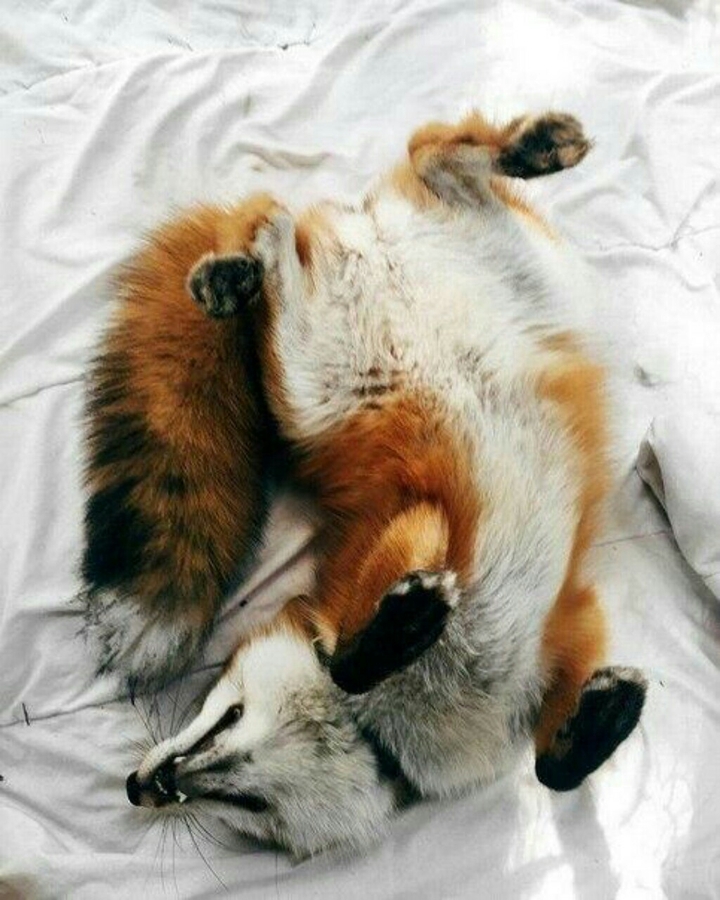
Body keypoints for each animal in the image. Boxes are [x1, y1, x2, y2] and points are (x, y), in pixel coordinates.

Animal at [82, 108, 647, 855]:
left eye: (229, 721)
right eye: (245, 803)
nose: (144, 786)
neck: (377, 722)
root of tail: (361, 224)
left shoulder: (565, 627)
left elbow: (554, 770)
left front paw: (603, 720)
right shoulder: (406, 525)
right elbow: (360, 660)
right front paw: (407, 623)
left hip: (527, 276)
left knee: (416, 161)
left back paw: (531, 148)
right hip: (303, 379)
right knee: (334, 199)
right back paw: (241, 271)